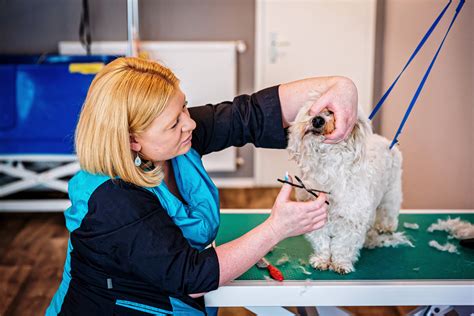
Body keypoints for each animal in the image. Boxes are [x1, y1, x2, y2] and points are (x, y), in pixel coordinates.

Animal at [286, 95, 402, 274]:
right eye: (312, 110)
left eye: (332, 112)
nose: (317, 120)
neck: (328, 168)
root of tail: (387, 141)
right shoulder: (315, 214)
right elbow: (321, 241)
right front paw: (322, 260)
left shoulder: (351, 218)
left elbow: (344, 245)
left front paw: (341, 263)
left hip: (391, 192)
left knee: (389, 211)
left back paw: (386, 226)